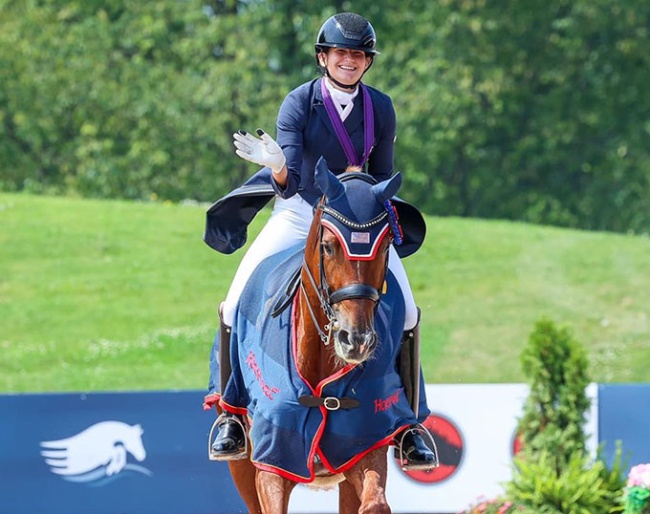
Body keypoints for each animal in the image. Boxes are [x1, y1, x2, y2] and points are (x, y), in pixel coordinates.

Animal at [215, 158, 412, 510]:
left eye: (387, 244)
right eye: (328, 246)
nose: (356, 340)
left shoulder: (364, 443)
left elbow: (375, 503)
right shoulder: (272, 462)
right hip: (240, 461)